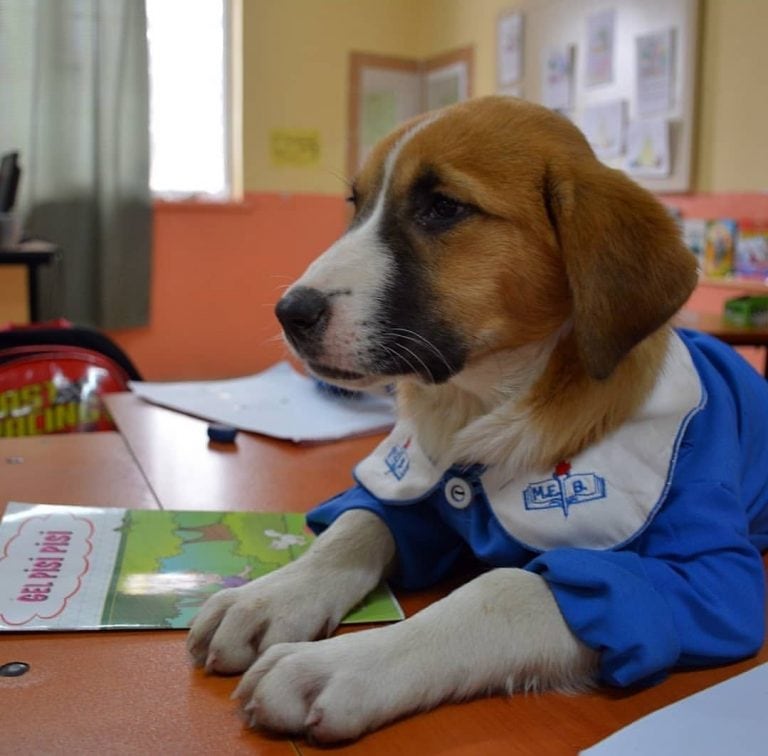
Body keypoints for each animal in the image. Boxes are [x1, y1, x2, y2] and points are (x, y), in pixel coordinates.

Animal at [188, 96, 768, 744]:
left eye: (443, 208)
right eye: (356, 205)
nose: (289, 313)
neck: (488, 401)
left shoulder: (706, 579)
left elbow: (507, 587)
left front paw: (344, 663)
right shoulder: (414, 490)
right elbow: (354, 527)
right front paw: (269, 596)